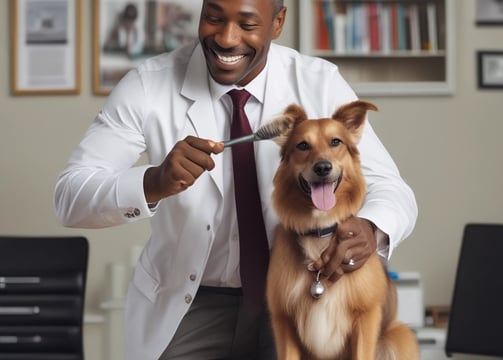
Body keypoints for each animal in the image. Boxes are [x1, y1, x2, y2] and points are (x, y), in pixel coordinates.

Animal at [266, 101, 420, 360]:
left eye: (335, 142)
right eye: (302, 145)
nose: (322, 167)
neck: (319, 231)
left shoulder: (366, 319)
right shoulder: (284, 321)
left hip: (400, 337)